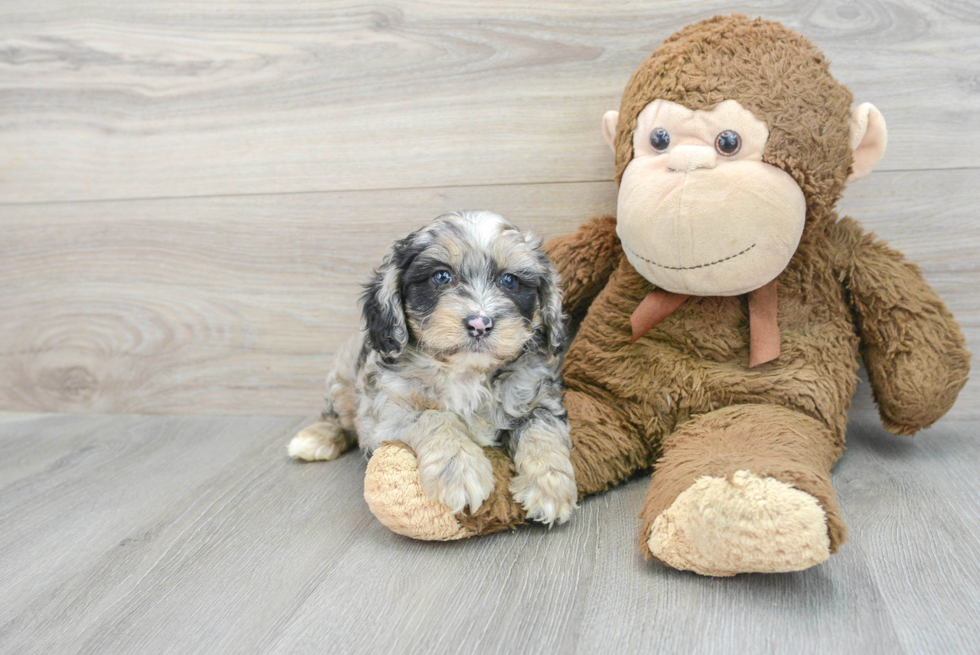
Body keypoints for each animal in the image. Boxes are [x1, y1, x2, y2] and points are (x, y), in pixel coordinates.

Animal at [290, 210, 580, 528]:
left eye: (509, 281)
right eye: (441, 277)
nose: (480, 324)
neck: (467, 372)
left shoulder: (538, 395)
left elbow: (542, 427)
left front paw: (550, 485)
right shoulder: (387, 414)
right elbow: (434, 416)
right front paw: (461, 471)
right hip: (343, 377)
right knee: (337, 417)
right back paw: (315, 438)